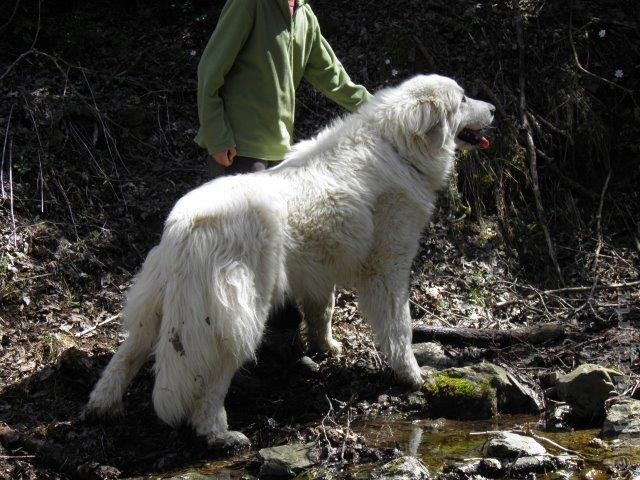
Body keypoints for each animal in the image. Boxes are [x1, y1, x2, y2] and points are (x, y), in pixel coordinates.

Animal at [85, 74, 496, 450]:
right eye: (462, 99)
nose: (493, 109)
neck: (399, 147)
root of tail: (188, 223)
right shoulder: (389, 268)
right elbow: (400, 329)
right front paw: (413, 376)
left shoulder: (322, 268)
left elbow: (322, 311)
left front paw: (325, 347)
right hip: (239, 314)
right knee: (213, 381)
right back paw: (219, 434)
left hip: (158, 302)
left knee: (128, 353)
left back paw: (102, 406)